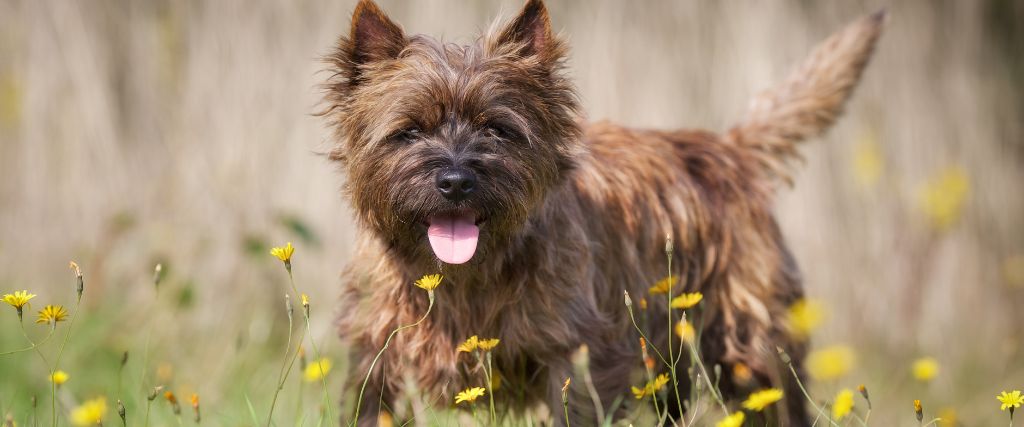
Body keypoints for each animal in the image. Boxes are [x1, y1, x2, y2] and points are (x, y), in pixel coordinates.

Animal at [323, 1, 884, 423]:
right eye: (409, 131)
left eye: (496, 129)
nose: (456, 181)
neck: (463, 279)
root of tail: (729, 147)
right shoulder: (378, 357)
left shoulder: (575, 358)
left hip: (749, 349)